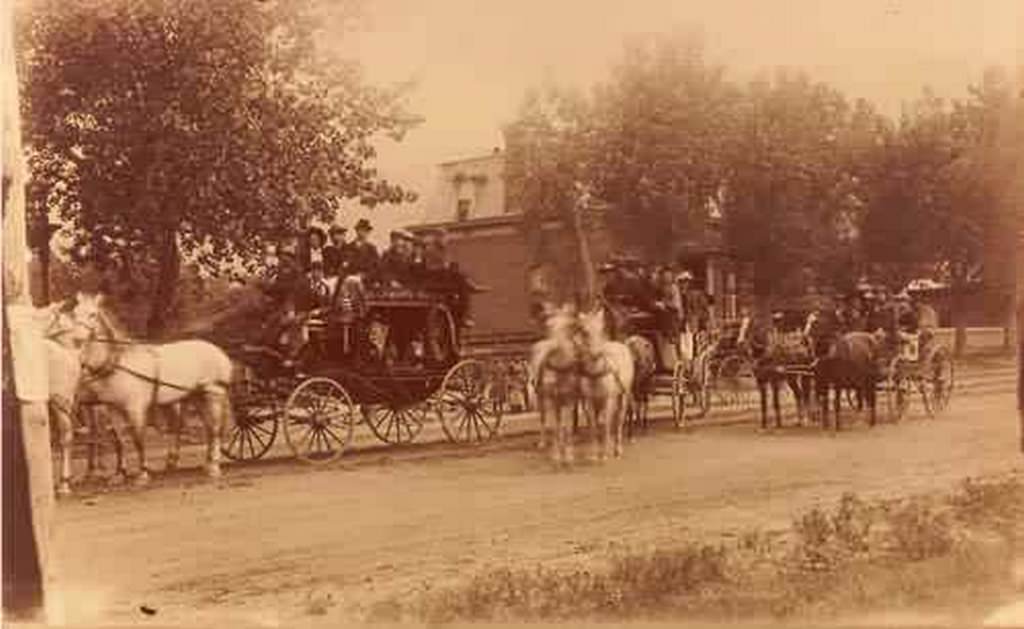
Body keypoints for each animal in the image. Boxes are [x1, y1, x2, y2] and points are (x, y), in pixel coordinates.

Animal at [71, 295, 234, 483]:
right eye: (74, 312)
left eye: (93, 314)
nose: (77, 339)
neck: (118, 362)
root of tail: (218, 350)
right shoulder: (113, 409)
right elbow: (119, 441)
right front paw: (120, 473)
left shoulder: (135, 408)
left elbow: (138, 439)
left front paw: (142, 473)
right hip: (197, 397)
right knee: (208, 428)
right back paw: (207, 464)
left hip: (214, 394)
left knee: (215, 429)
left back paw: (214, 467)